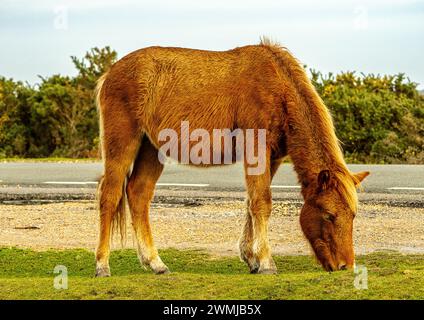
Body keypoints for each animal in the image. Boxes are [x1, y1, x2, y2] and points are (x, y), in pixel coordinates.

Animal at [94, 37, 370, 276]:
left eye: (353, 215)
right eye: (329, 214)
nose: (345, 266)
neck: (277, 88)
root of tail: (111, 73)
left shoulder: (272, 158)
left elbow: (252, 203)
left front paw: (251, 258)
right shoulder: (256, 151)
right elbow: (261, 203)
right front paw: (266, 262)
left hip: (151, 149)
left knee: (138, 193)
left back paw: (155, 263)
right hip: (123, 143)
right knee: (110, 195)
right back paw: (102, 265)